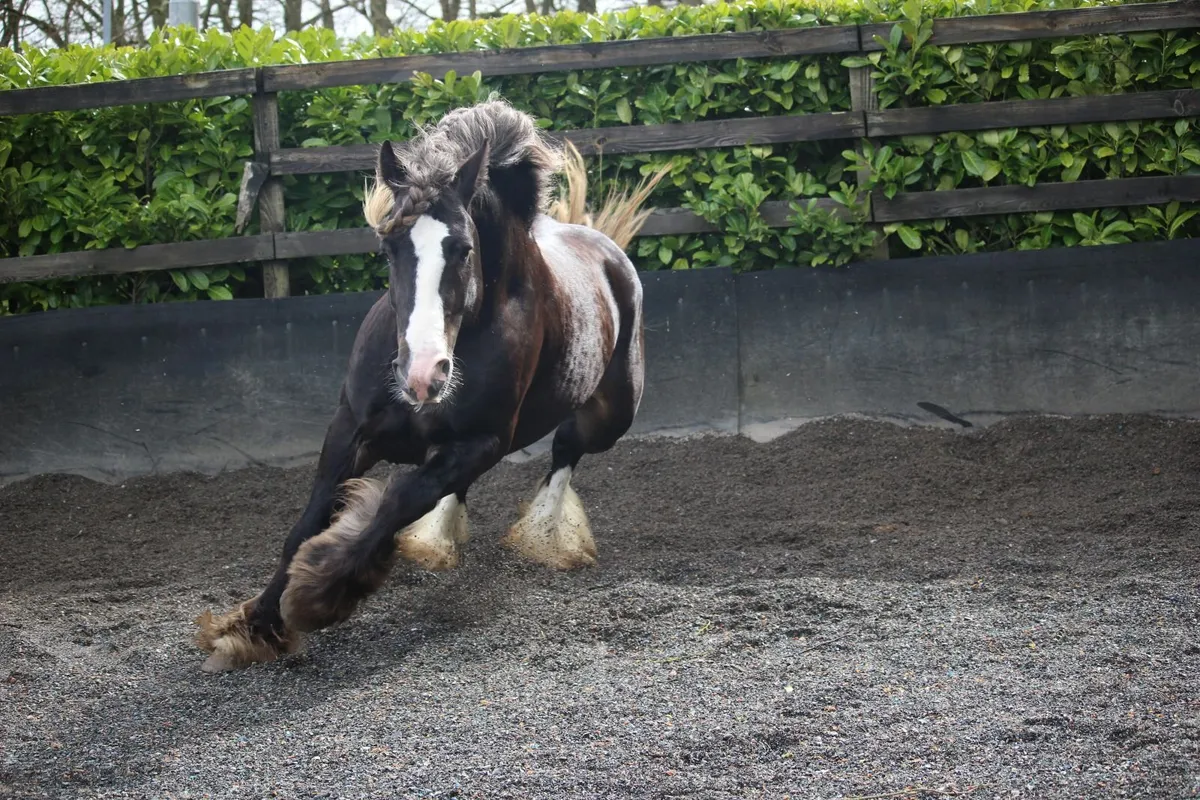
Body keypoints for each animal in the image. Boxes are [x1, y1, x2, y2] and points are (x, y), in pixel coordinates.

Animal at [194, 98, 670, 673]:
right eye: (388, 246)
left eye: (463, 248)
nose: (422, 375)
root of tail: (605, 250)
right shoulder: (352, 428)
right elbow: (310, 516)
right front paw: (255, 627)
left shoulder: (484, 440)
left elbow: (400, 498)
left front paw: (322, 590)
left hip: (608, 417)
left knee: (564, 453)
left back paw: (544, 535)